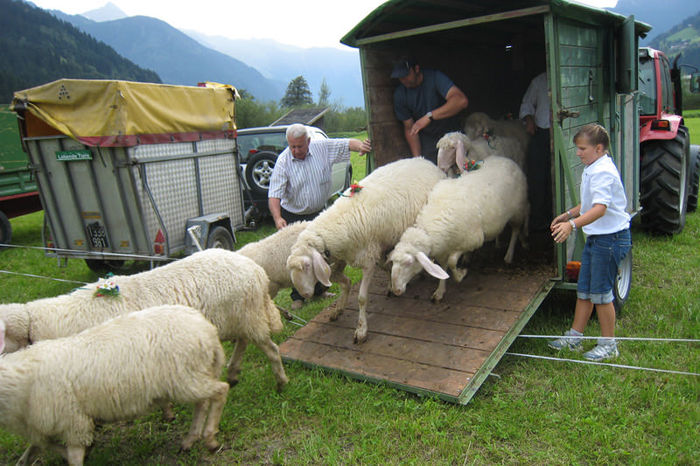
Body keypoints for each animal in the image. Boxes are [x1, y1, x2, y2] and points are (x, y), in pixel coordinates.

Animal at [0, 249, 288, 392]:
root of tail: (255, 269)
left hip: (247, 315)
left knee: (269, 349)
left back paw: (280, 382)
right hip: (240, 317)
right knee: (243, 342)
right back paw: (234, 372)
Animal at [0, 304, 230, 464]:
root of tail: (207, 330)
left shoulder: (73, 421)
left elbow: (73, 455)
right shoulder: (42, 425)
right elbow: (37, 447)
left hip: (185, 378)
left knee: (220, 391)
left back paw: (210, 439)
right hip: (192, 375)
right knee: (202, 403)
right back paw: (190, 440)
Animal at [286, 157, 446, 342]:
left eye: (306, 266)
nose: (304, 294)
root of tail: (426, 161)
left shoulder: (367, 259)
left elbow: (362, 298)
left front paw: (361, 329)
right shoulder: (344, 256)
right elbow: (343, 280)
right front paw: (339, 308)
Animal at [386, 155, 528, 304]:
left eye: (409, 263)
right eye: (393, 262)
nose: (396, 290)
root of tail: (507, 159)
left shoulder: (473, 240)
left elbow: (452, 261)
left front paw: (461, 274)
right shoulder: (444, 249)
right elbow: (443, 268)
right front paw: (440, 291)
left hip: (518, 210)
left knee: (516, 230)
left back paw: (510, 254)